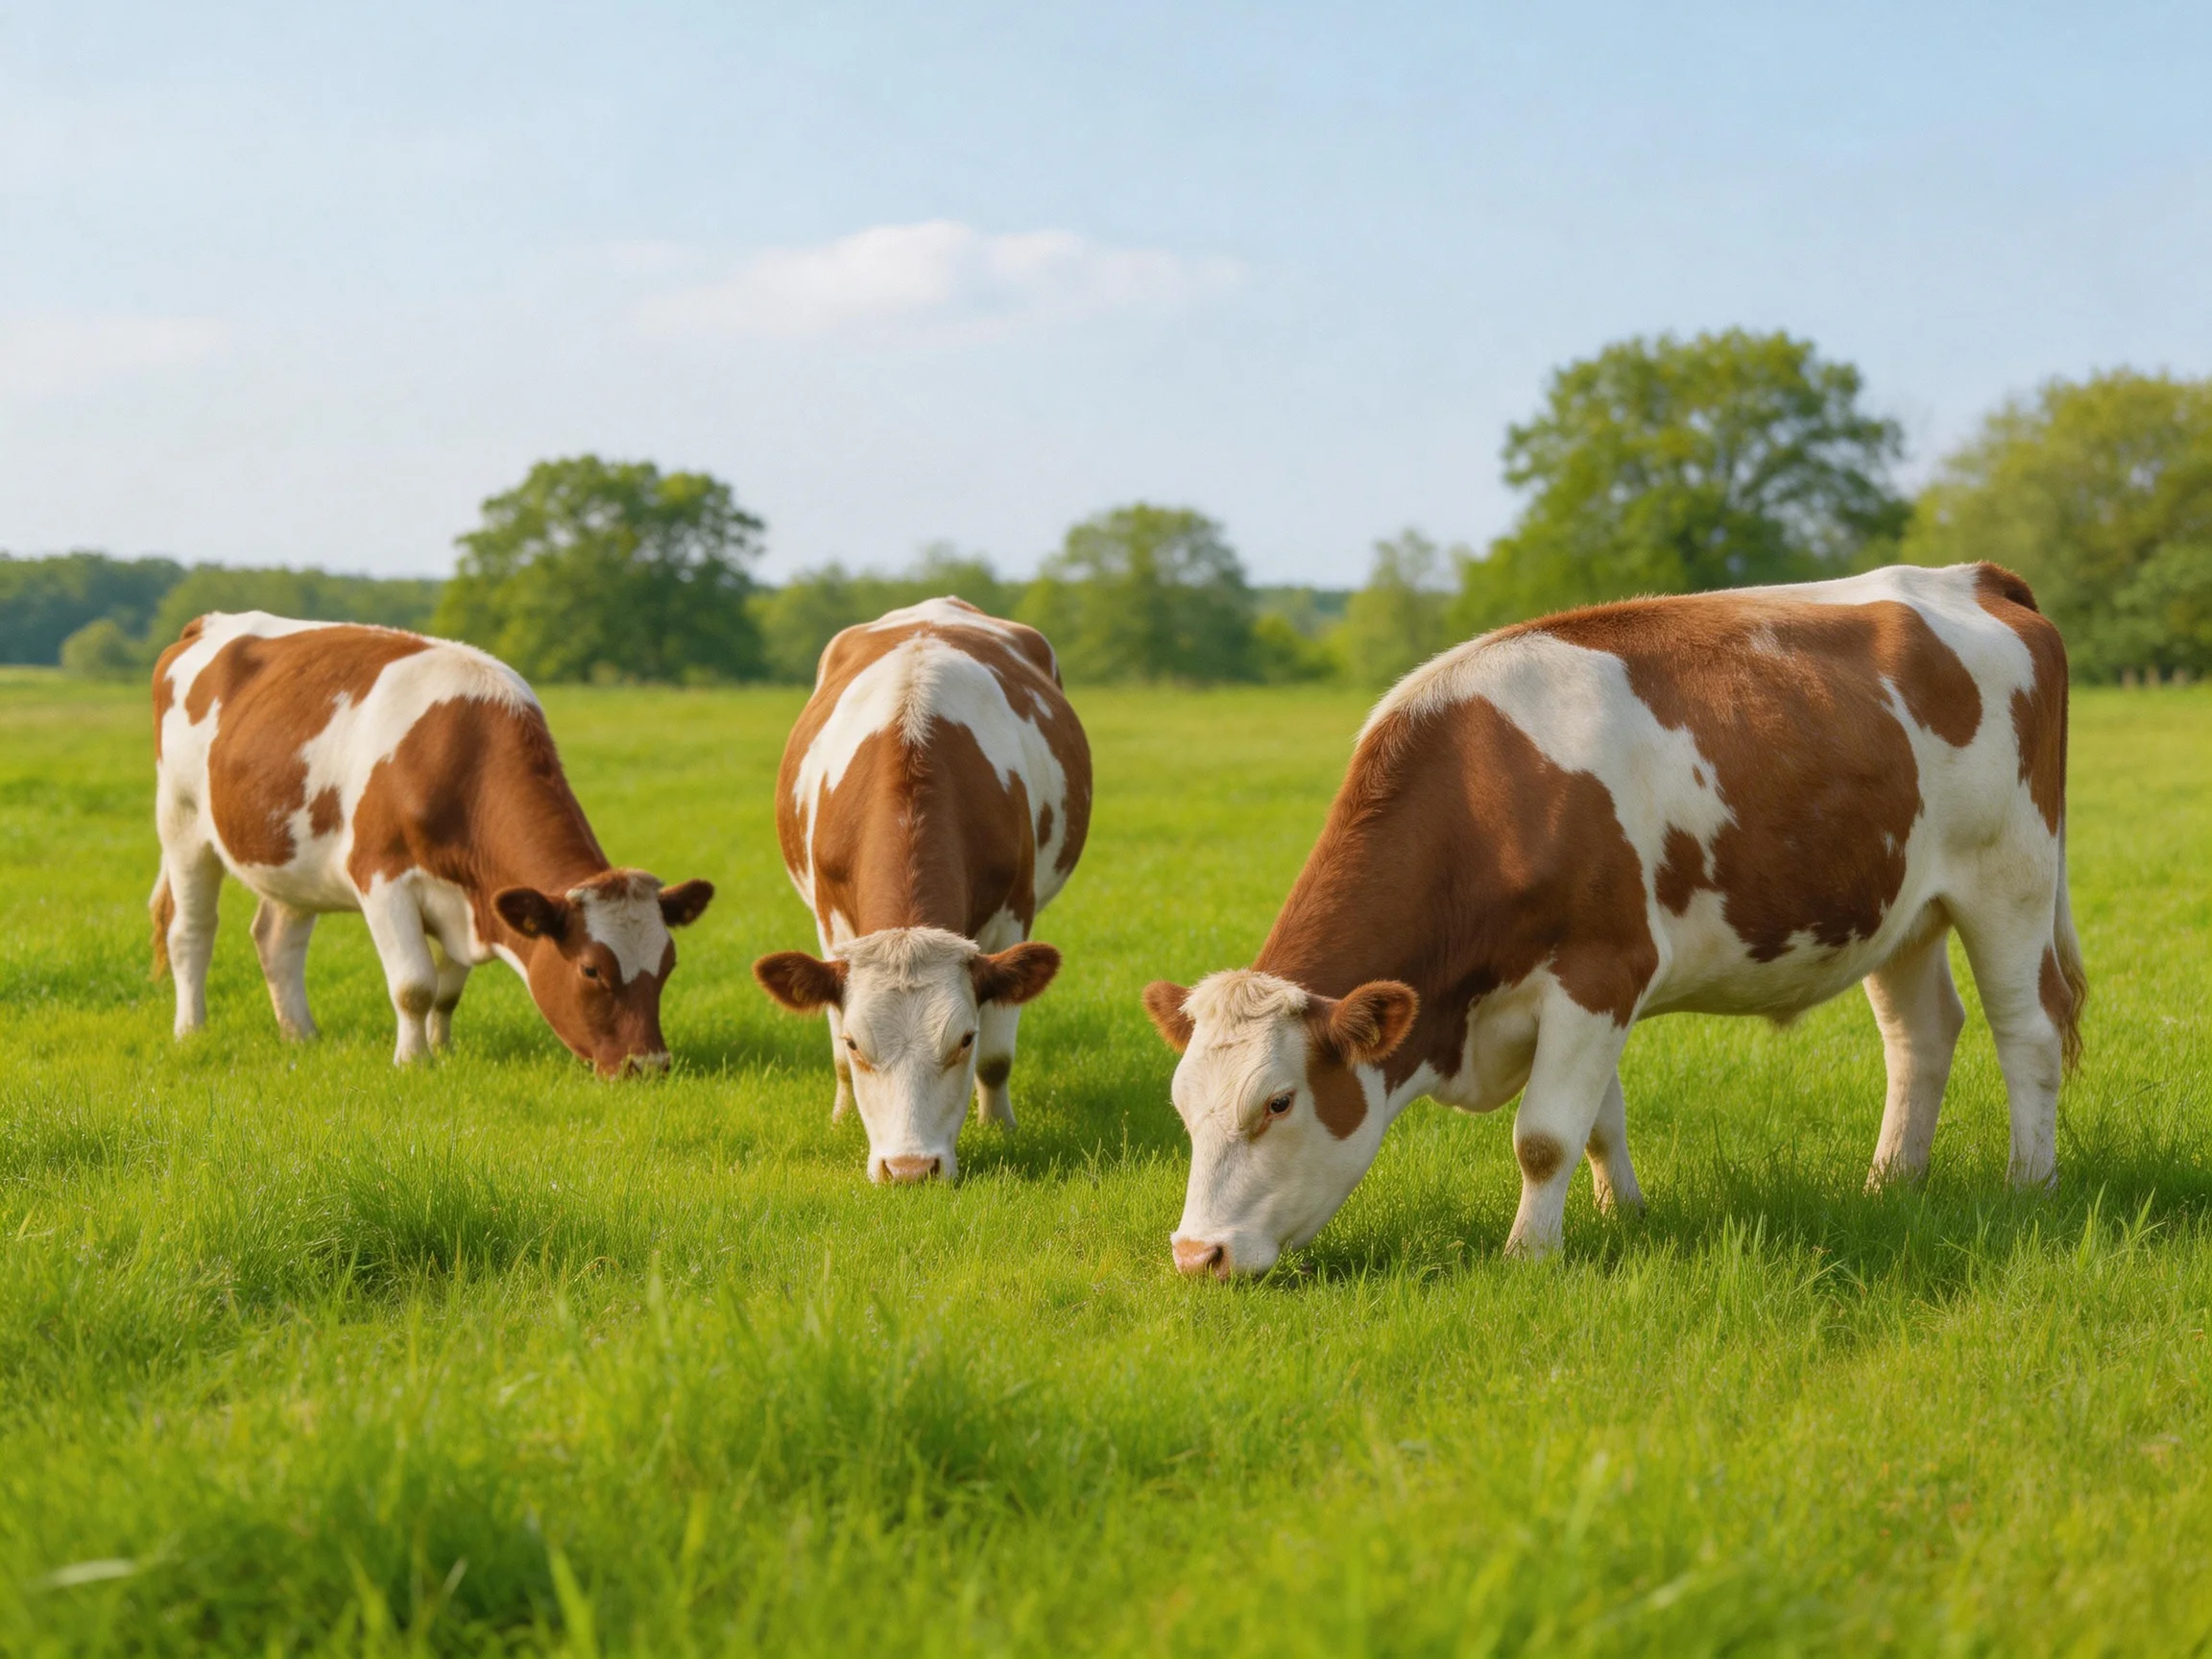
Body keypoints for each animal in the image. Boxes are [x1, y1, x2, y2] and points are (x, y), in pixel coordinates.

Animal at [149, 611, 714, 1074]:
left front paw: (444, 1050)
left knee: (276, 939)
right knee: (190, 931)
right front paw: (413, 1062)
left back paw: (301, 1036)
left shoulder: (472, 894)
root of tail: (209, 623)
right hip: (182, 821)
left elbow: (446, 992)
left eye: (668, 964)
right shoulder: (383, 879)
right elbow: (414, 985)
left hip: (290, 859)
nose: (649, 1064)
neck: (464, 756)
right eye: (591, 969)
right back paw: (190, 1031)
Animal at [753, 598, 1092, 1184]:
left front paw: (999, 1128)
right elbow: (837, 1060)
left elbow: (997, 1060)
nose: (910, 1169)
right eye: (856, 1041)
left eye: (964, 1038)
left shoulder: (1015, 915)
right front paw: (840, 1121)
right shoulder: (829, 921)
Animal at [1144, 563, 2086, 1277]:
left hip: (2010, 877)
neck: (1490, 796)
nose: (1196, 1255)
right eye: (1181, 1105)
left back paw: (2029, 1186)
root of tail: (1970, 577)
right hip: (1903, 907)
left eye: (1277, 1102)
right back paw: (1891, 1184)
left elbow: (1544, 1137)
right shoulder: (1585, 992)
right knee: (1921, 1036)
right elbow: (1601, 1121)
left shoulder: (1600, 969)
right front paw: (1624, 1215)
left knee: (2028, 1031)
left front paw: (1529, 1257)